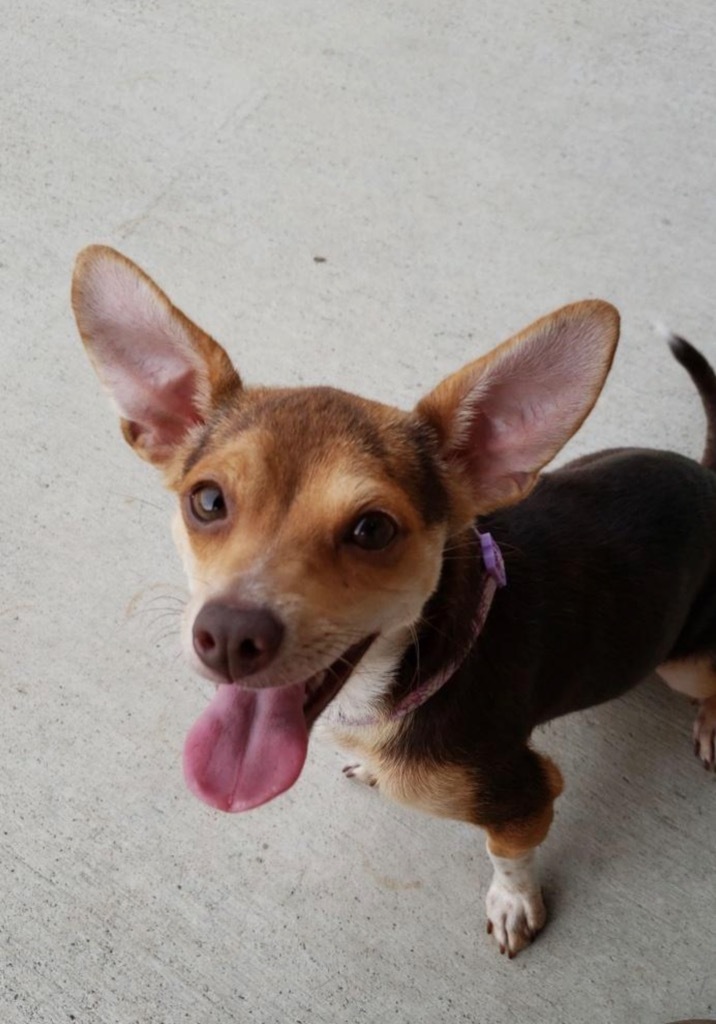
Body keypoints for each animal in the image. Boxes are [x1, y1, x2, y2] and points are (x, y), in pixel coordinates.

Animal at [71, 243, 716, 954]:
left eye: (372, 530)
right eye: (207, 500)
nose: (230, 637)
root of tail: (708, 475)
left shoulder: (525, 793)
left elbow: (507, 855)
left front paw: (515, 902)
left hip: (681, 664)